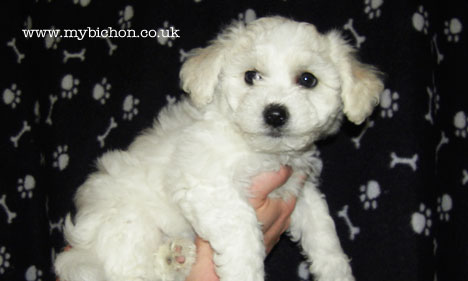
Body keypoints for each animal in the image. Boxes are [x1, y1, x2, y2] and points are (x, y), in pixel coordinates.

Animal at [54, 15, 384, 280]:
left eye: (307, 79)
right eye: (251, 76)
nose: (275, 114)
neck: (257, 148)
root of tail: (82, 251)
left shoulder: (298, 189)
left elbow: (322, 228)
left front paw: (337, 271)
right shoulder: (207, 185)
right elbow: (242, 229)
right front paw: (244, 273)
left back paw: (176, 257)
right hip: (129, 229)